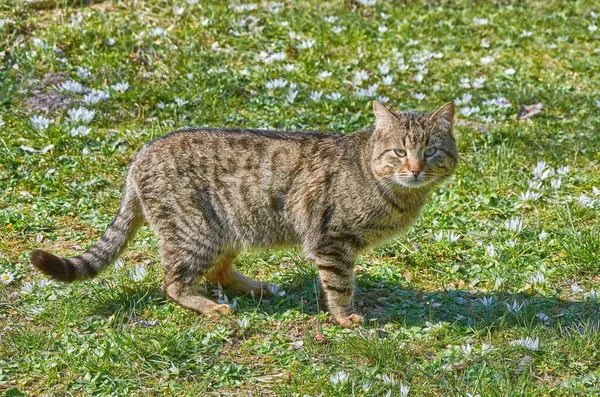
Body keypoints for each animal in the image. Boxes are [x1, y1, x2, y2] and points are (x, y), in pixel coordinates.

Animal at [30, 100, 458, 328]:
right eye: (400, 152)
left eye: (431, 151)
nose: (416, 168)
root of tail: (141, 154)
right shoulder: (331, 242)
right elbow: (340, 285)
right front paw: (344, 316)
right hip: (195, 233)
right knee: (173, 284)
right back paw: (209, 306)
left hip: (228, 229)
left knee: (218, 272)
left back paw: (256, 287)